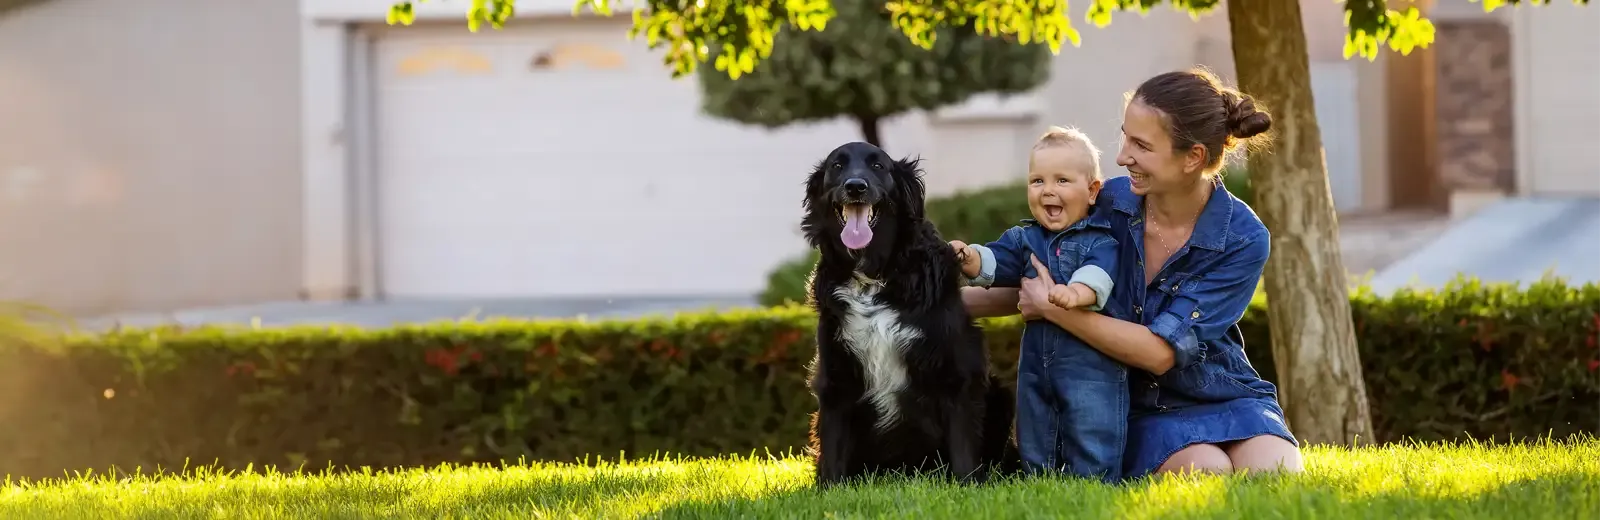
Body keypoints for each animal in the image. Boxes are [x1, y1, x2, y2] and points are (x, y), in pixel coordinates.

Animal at [796, 138, 1011, 486]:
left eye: (878, 166)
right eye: (837, 166)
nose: (855, 186)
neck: (875, 278)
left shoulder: (956, 372)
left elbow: (963, 444)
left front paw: (968, 486)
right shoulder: (836, 373)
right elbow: (832, 446)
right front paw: (828, 489)